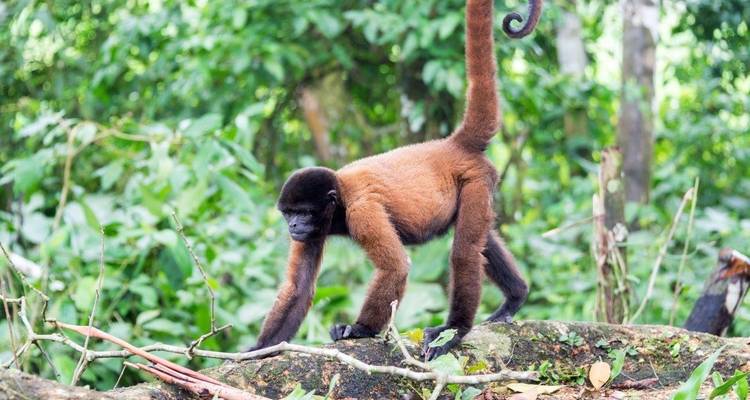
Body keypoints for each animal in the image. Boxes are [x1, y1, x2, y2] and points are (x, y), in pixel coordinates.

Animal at [248, 0, 543, 360]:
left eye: (303, 212)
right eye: (289, 214)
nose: (292, 226)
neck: (340, 199)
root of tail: (453, 144)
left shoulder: (362, 211)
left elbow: (396, 267)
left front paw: (358, 329)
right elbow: (298, 289)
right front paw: (257, 350)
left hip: (476, 180)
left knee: (465, 250)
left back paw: (454, 330)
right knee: (483, 240)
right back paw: (515, 297)